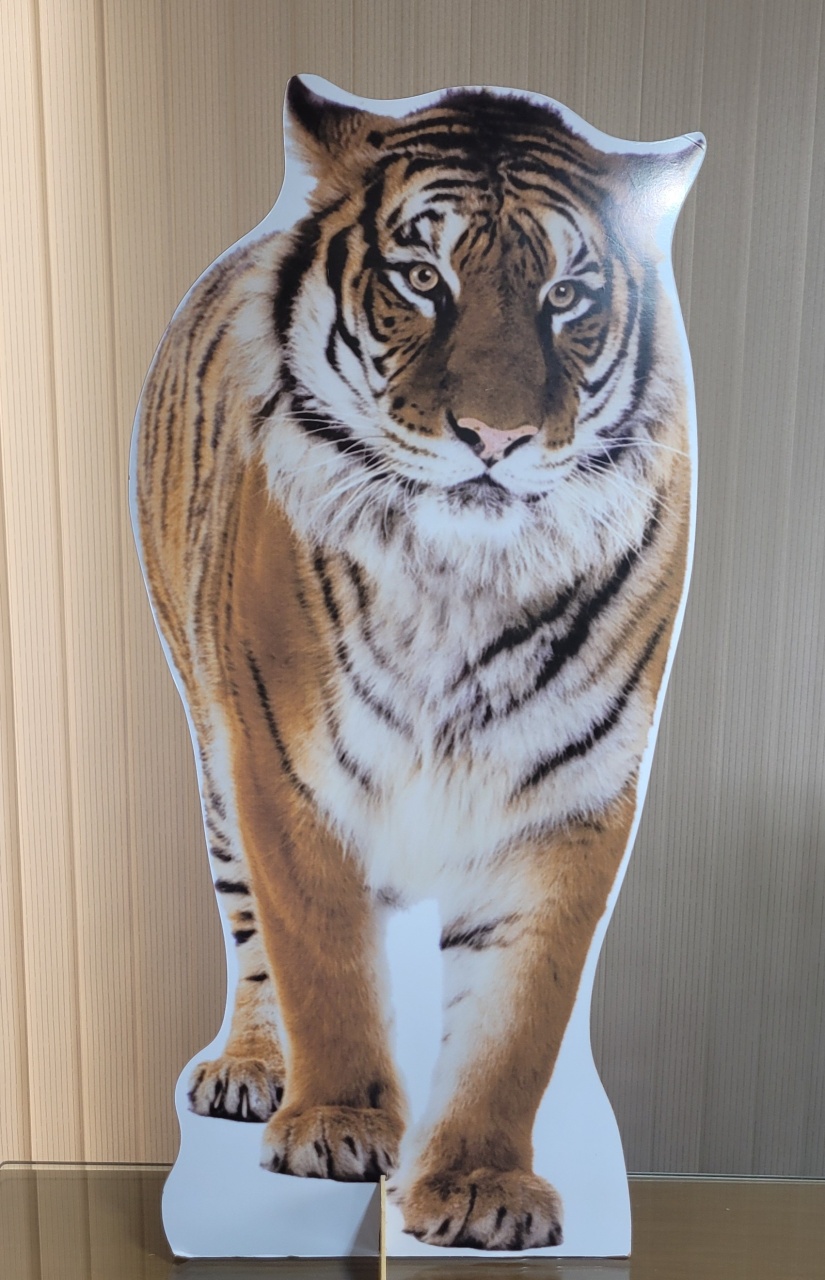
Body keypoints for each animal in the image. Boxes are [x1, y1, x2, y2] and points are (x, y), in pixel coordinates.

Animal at [132, 76, 703, 1252]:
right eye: (422, 279)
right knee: (245, 924)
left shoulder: (571, 797)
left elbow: (517, 1017)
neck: (461, 581)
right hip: (208, 738)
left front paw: (481, 1184)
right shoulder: (285, 767)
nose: (494, 437)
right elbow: (321, 958)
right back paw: (251, 1067)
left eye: (567, 296)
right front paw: (338, 1124)